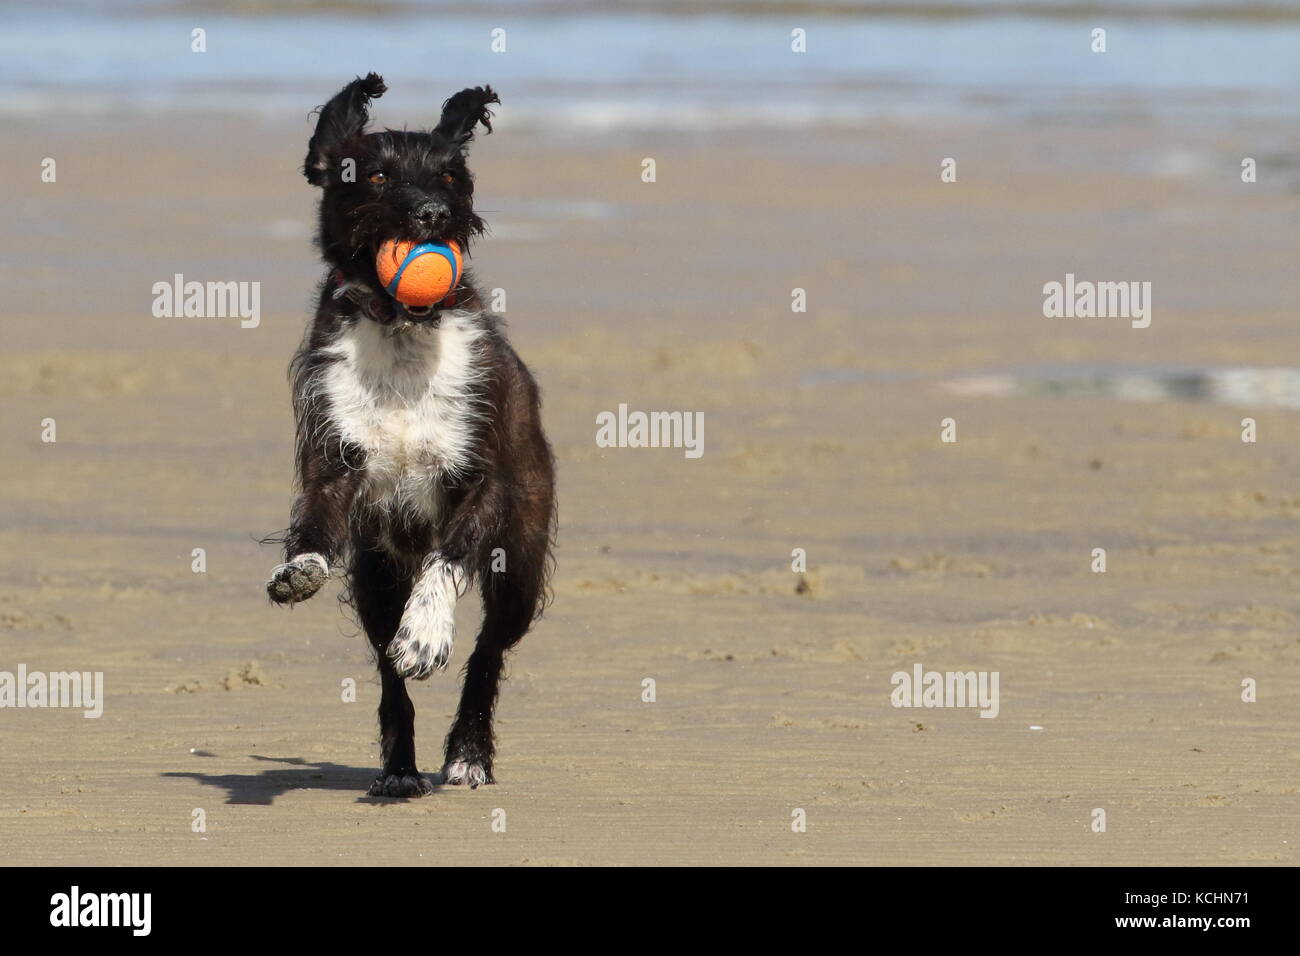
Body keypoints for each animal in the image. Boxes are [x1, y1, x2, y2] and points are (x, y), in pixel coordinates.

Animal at [266, 74, 556, 796]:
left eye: (451, 174)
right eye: (374, 174)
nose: (433, 214)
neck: (403, 329)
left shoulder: (484, 483)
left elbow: (447, 561)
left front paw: (425, 633)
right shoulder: (336, 466)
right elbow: (315, 524)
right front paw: (299, 568)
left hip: (520, 565)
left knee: (488, 653)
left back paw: (468, 753)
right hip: (375, 576)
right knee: (385, 669)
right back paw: (399, 769)